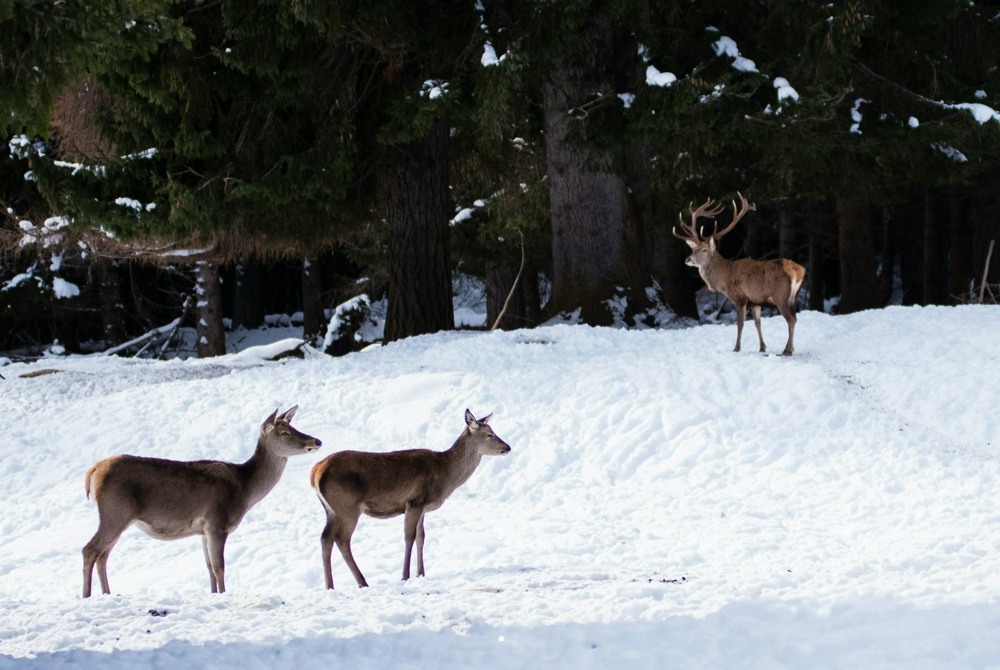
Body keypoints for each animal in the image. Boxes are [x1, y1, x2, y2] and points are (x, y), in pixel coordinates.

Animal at [84, 404, 324, 600]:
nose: (317, 441)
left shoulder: (202, 530)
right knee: (90, 550)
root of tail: (92, 472)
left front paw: (213, 594)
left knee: (103, 555)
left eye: (294, 426)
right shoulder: (217, 523)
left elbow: (208, 567)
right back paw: (86, 596)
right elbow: (219, 567)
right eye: (284, 432)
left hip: (120, 518)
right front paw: (224, 595)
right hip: (114, 512)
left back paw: (106, 593)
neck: (245, 490)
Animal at [312, 412, 512, 592]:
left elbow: (421, 536)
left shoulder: (423, 507)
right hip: (348, 507)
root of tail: (315, 473)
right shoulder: (414, 501)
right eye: (490, 434)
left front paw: (421, 573)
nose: (508, 447)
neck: (446, 476)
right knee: (342, 539)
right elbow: (409, 537)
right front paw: (405, 575)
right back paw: (362, 581)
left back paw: (330, 586)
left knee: (325, 538)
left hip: (331, 510)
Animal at [672, 193, 804, 356]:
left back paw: (787, 350)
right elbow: (757, 323)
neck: (724, 278)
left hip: (780, 296)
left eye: (704, 250)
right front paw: (762, 347)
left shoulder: (739, 298)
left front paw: (736, 348)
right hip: (794, 297)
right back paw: (790, 347)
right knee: (795, 318)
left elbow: (740, 324)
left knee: (791, 319)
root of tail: (799, 271)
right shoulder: (755, 301)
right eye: (693, 249)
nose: (687, 259)